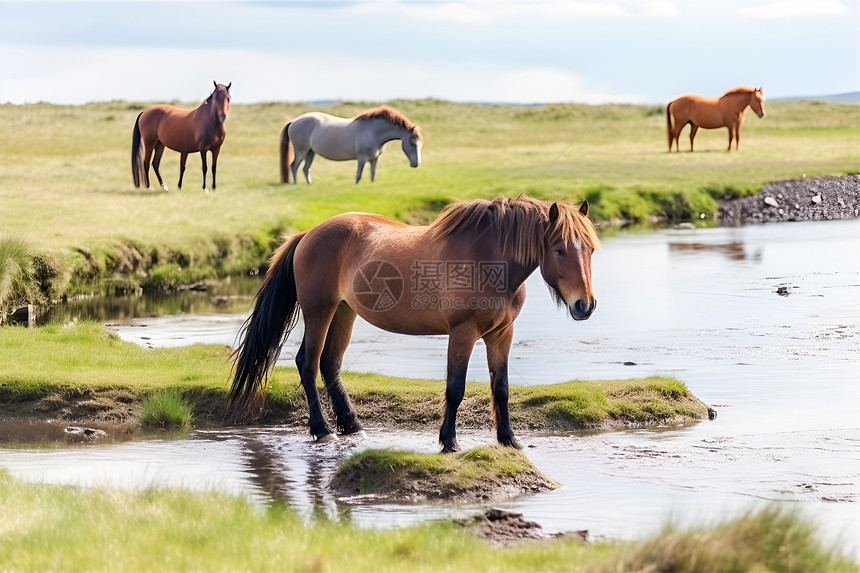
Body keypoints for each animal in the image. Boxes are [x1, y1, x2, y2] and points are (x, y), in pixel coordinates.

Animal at [230, 196, 604, 452]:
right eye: (558, 250)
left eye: (589, 249)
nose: (585, 305)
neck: (488, 261)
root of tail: (309, 234)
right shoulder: (463, 333)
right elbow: (455, 388)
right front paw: (449, 442)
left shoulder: (502, 334)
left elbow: (501, 388)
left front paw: (509, 439)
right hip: (319, 310)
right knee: (307, 363)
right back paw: (322, 429)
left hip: (344, 312)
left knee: (330, 364)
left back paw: (352, 424)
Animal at [278, 104, 424, 181]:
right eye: (412, 144)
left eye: (420, 145)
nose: (416, 164)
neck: (373, 131)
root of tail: (294, 121)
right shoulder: (362, 159)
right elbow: (358, 177)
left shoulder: (375, 159)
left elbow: (373, 175)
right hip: (301, 151)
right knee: (294, 166)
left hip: (310, 152)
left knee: (305, 169)